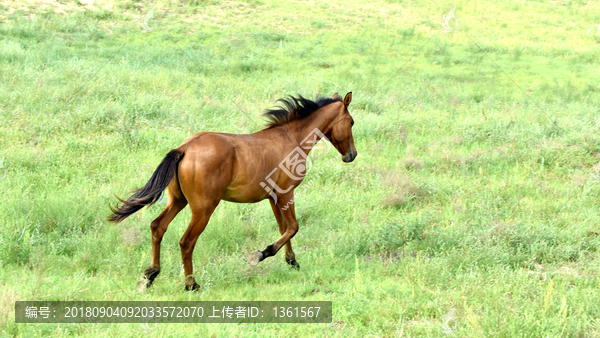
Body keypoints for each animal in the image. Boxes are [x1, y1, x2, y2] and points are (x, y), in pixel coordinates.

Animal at [109, 92, 356, 290]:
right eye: (351, 122)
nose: (351, 155)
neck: (290, 139)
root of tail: (184, 149)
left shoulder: (273, 197)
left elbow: (284, 228)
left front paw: (291, 261)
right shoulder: (286, 193)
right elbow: (293, 227)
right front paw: (261, 255)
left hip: (178, 201)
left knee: (157, 227)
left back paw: (150, 276)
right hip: (203, 209)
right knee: (186, 241)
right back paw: (191, 284)